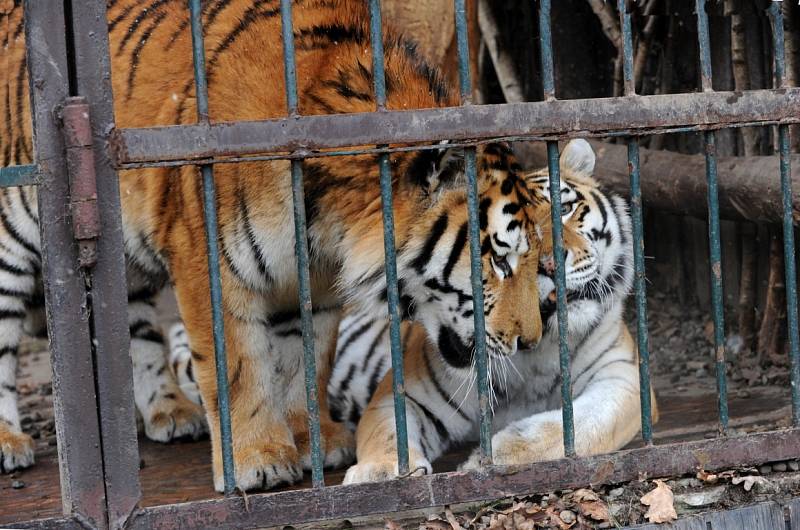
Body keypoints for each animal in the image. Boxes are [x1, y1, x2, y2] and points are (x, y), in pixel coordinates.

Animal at [0, 0, 544, 490]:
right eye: (499, 260)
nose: (531, 341)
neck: (329, 219)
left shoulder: (314, 286)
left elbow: (302, 362)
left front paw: (312, 443)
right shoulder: (212, 267)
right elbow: (239, 368)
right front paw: (257, 461)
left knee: (133, 329)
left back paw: (171, 413)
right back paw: (9, 443)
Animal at [326, 138, 664, 480]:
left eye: (565, 208)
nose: (549, 263)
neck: (538, 352)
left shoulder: (623, 377)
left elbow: (581, 426)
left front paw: (497, 456)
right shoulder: (404, 394)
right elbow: (388, 432)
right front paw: (379, 472)